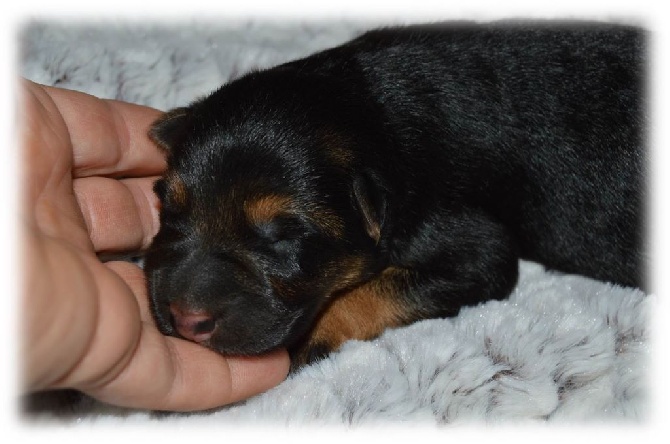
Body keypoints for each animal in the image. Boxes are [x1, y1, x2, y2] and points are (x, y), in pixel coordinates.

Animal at [144, 20, 648, 368]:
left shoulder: (474, 247)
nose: (185, 319)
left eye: (284, 237)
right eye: (169, 207)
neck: (365, 111)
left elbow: (373, 291)